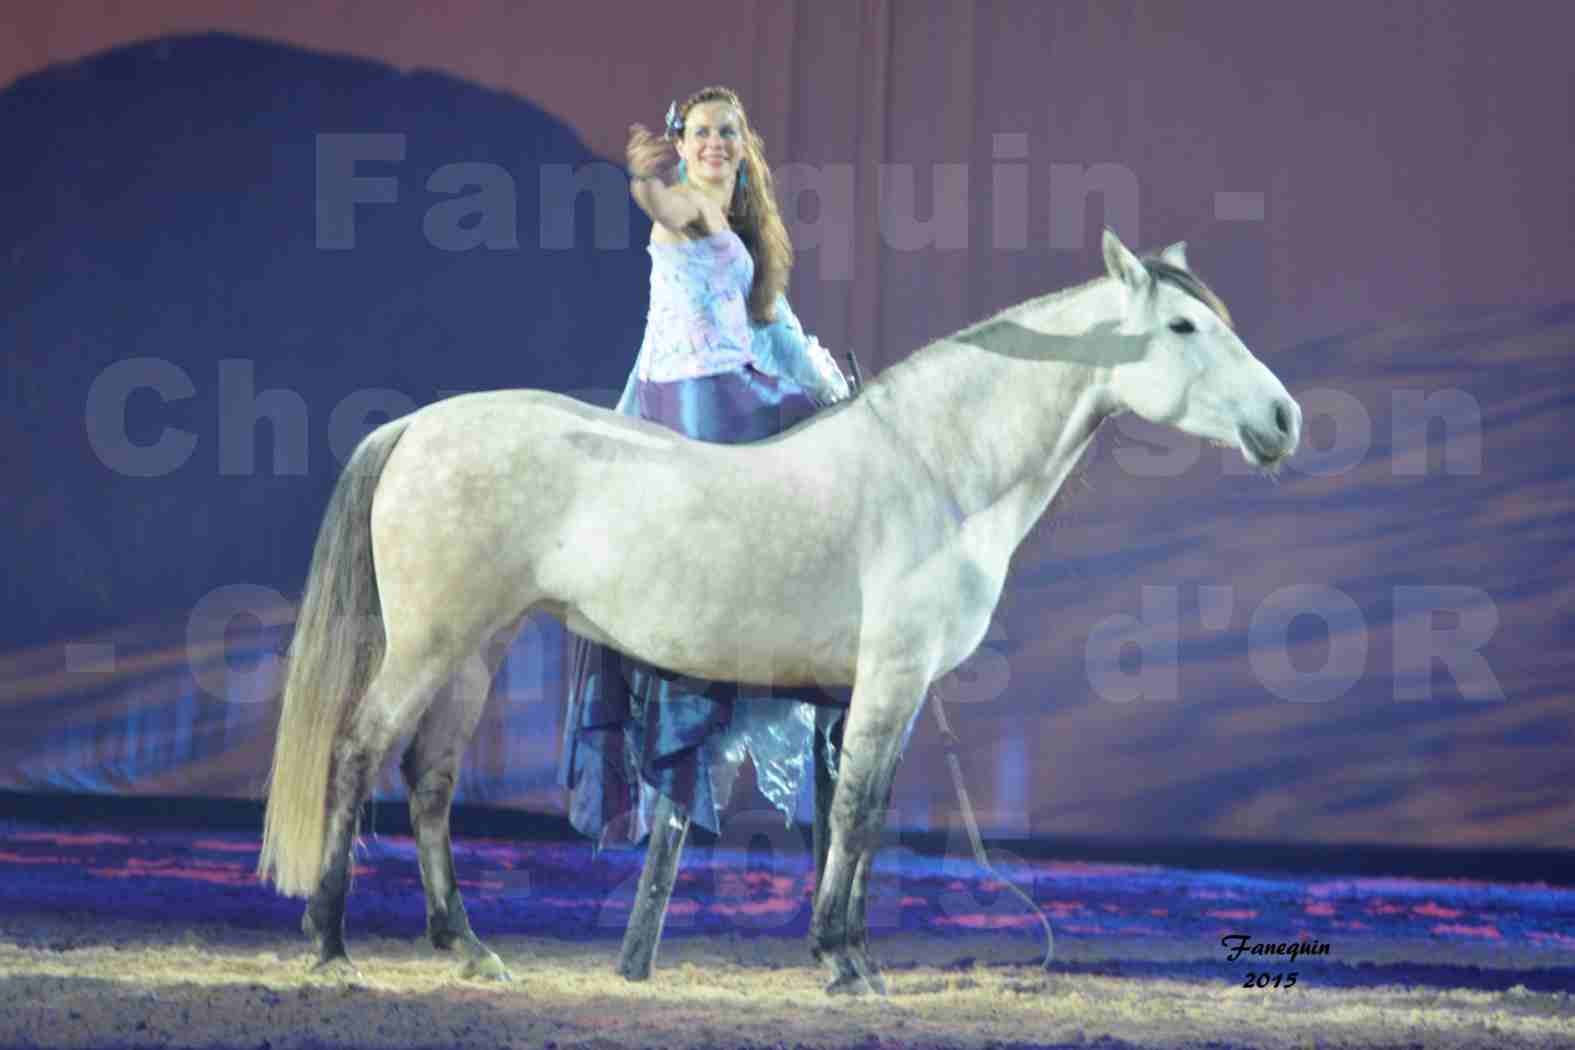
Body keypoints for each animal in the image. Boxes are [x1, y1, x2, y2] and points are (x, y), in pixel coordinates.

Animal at [255, 229, 1291, 994]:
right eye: (1185, 326)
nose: (1284, 421)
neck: (934, 467)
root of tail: (417, 426)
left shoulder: (887, 692)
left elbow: (860, 813)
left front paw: (851, 953)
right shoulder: (890, 677)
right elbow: (861, 813)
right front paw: (841, 959)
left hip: (477, 648)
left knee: (429, 778)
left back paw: (466, 947)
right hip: (430, 646)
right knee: (357, 754)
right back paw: (331, 944)